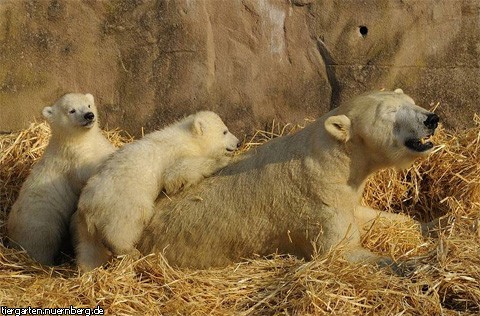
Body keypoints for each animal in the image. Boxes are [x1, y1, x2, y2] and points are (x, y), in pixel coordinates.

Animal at [135, 88, 438, 270]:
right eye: (389, 113)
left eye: (411, 102)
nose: (431, 119)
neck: (329, 163)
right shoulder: (316, 205)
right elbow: (341, 251)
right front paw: (415, 263)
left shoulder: (343, 196)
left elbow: (373, 216)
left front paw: (434, 225)